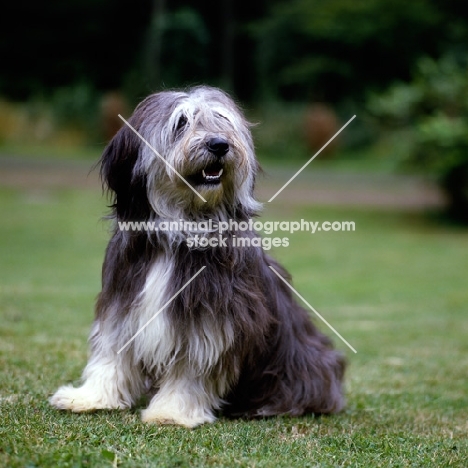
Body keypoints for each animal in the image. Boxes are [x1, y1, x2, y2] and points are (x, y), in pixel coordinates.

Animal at [49, 84, 346, 428]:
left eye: (222, 121)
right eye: (181, 123)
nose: (219, 144)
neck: (177, 234)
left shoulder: (213, 321)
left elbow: (193, 368)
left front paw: (172, 411)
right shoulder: (121, 305)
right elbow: (111, 353)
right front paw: (90, 397)